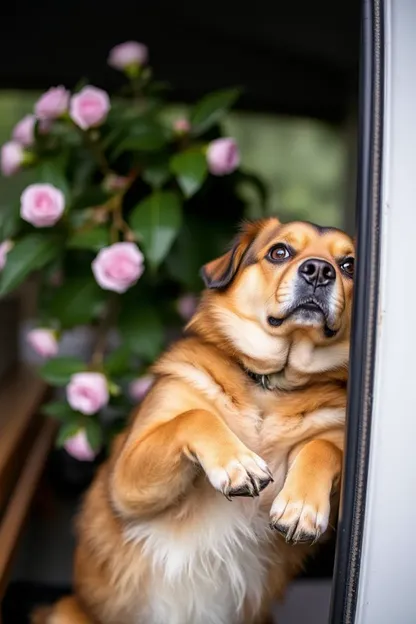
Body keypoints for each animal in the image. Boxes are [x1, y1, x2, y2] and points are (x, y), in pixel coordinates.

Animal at [33, 216, 354, 624]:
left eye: (349, 265)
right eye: (279, 252)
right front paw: (237, 463)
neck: (269, 387)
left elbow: (323, 447)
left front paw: (302, 506)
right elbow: (194, 416)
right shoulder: (126, 480)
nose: (319, 271)